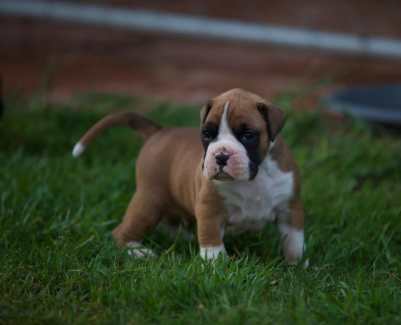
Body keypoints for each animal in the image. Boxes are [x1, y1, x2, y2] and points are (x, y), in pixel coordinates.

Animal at [72, 88, 304, 264]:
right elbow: (211, 240)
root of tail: (159, 131)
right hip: (149, 201)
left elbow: (294, 240)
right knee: (120, 233)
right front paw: (217, 266)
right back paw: (137, 251)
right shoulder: (209, 209)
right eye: (207, 134)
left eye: (248, 135)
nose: (221, 155)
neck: (255, 177)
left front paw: (297, 266)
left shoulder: (290, 209)